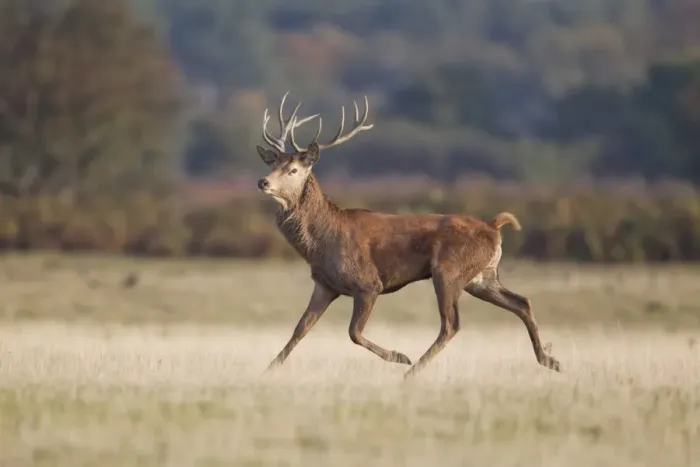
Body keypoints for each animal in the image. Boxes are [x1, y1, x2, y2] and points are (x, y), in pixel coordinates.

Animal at [255, 92, 562, 379]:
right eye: (273, 165)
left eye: (293, 170)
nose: (263, 181)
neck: (321, 243)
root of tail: (494, 226)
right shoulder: (325, 284)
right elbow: (299, 330)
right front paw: (267, 371)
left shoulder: (368, 283)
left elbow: (353, 332)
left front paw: (398, 355)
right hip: (482, 276)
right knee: (521, 302)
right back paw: (550, 359)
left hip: (449, 271)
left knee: (451, 324)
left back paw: (411, 371)